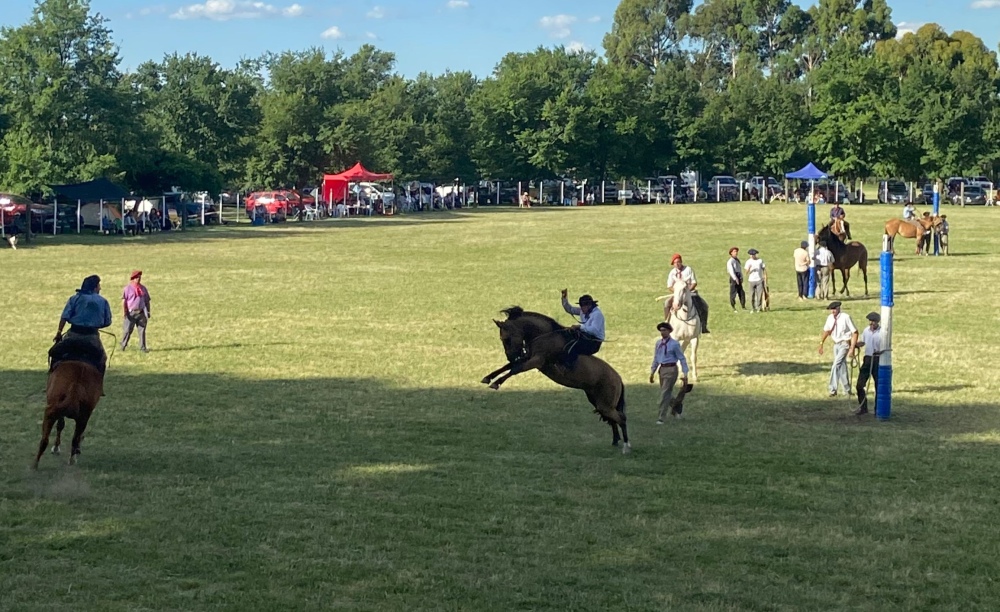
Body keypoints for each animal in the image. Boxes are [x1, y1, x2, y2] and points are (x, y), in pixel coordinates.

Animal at [480, 308, 628, 452]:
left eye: (506, 339)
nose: (511, 356)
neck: (544, 336)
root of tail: (618, 379)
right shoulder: (527, 357)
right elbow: (508, 366)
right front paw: (488, 378)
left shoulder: (536, 361)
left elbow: (515, 369)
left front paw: (496, 383)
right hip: (599, 402)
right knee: (612, 419)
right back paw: (615, 441)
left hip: (605, 405)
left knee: (621, 418)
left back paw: (626, 446)